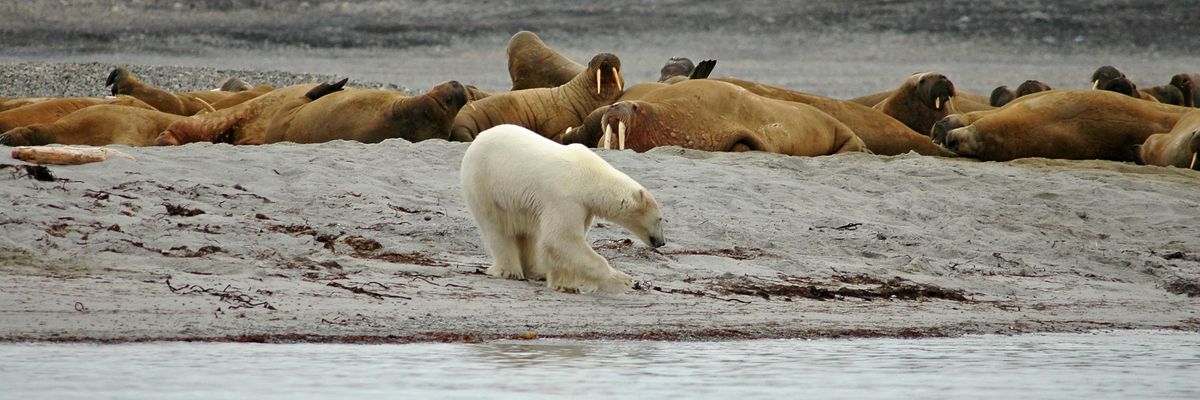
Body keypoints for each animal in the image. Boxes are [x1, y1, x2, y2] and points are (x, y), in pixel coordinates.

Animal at [460, 124, 666, 294]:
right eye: (660, 219)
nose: (661, 242)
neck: (589, 178)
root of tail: (477, 140)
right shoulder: (565, 198)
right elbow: (562, 239)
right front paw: (622, 280)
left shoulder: (584, 207)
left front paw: (564, 283)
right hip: (485, 185)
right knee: (497, 228)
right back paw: (510, 271)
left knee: (529, 234)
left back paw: (536, 271)